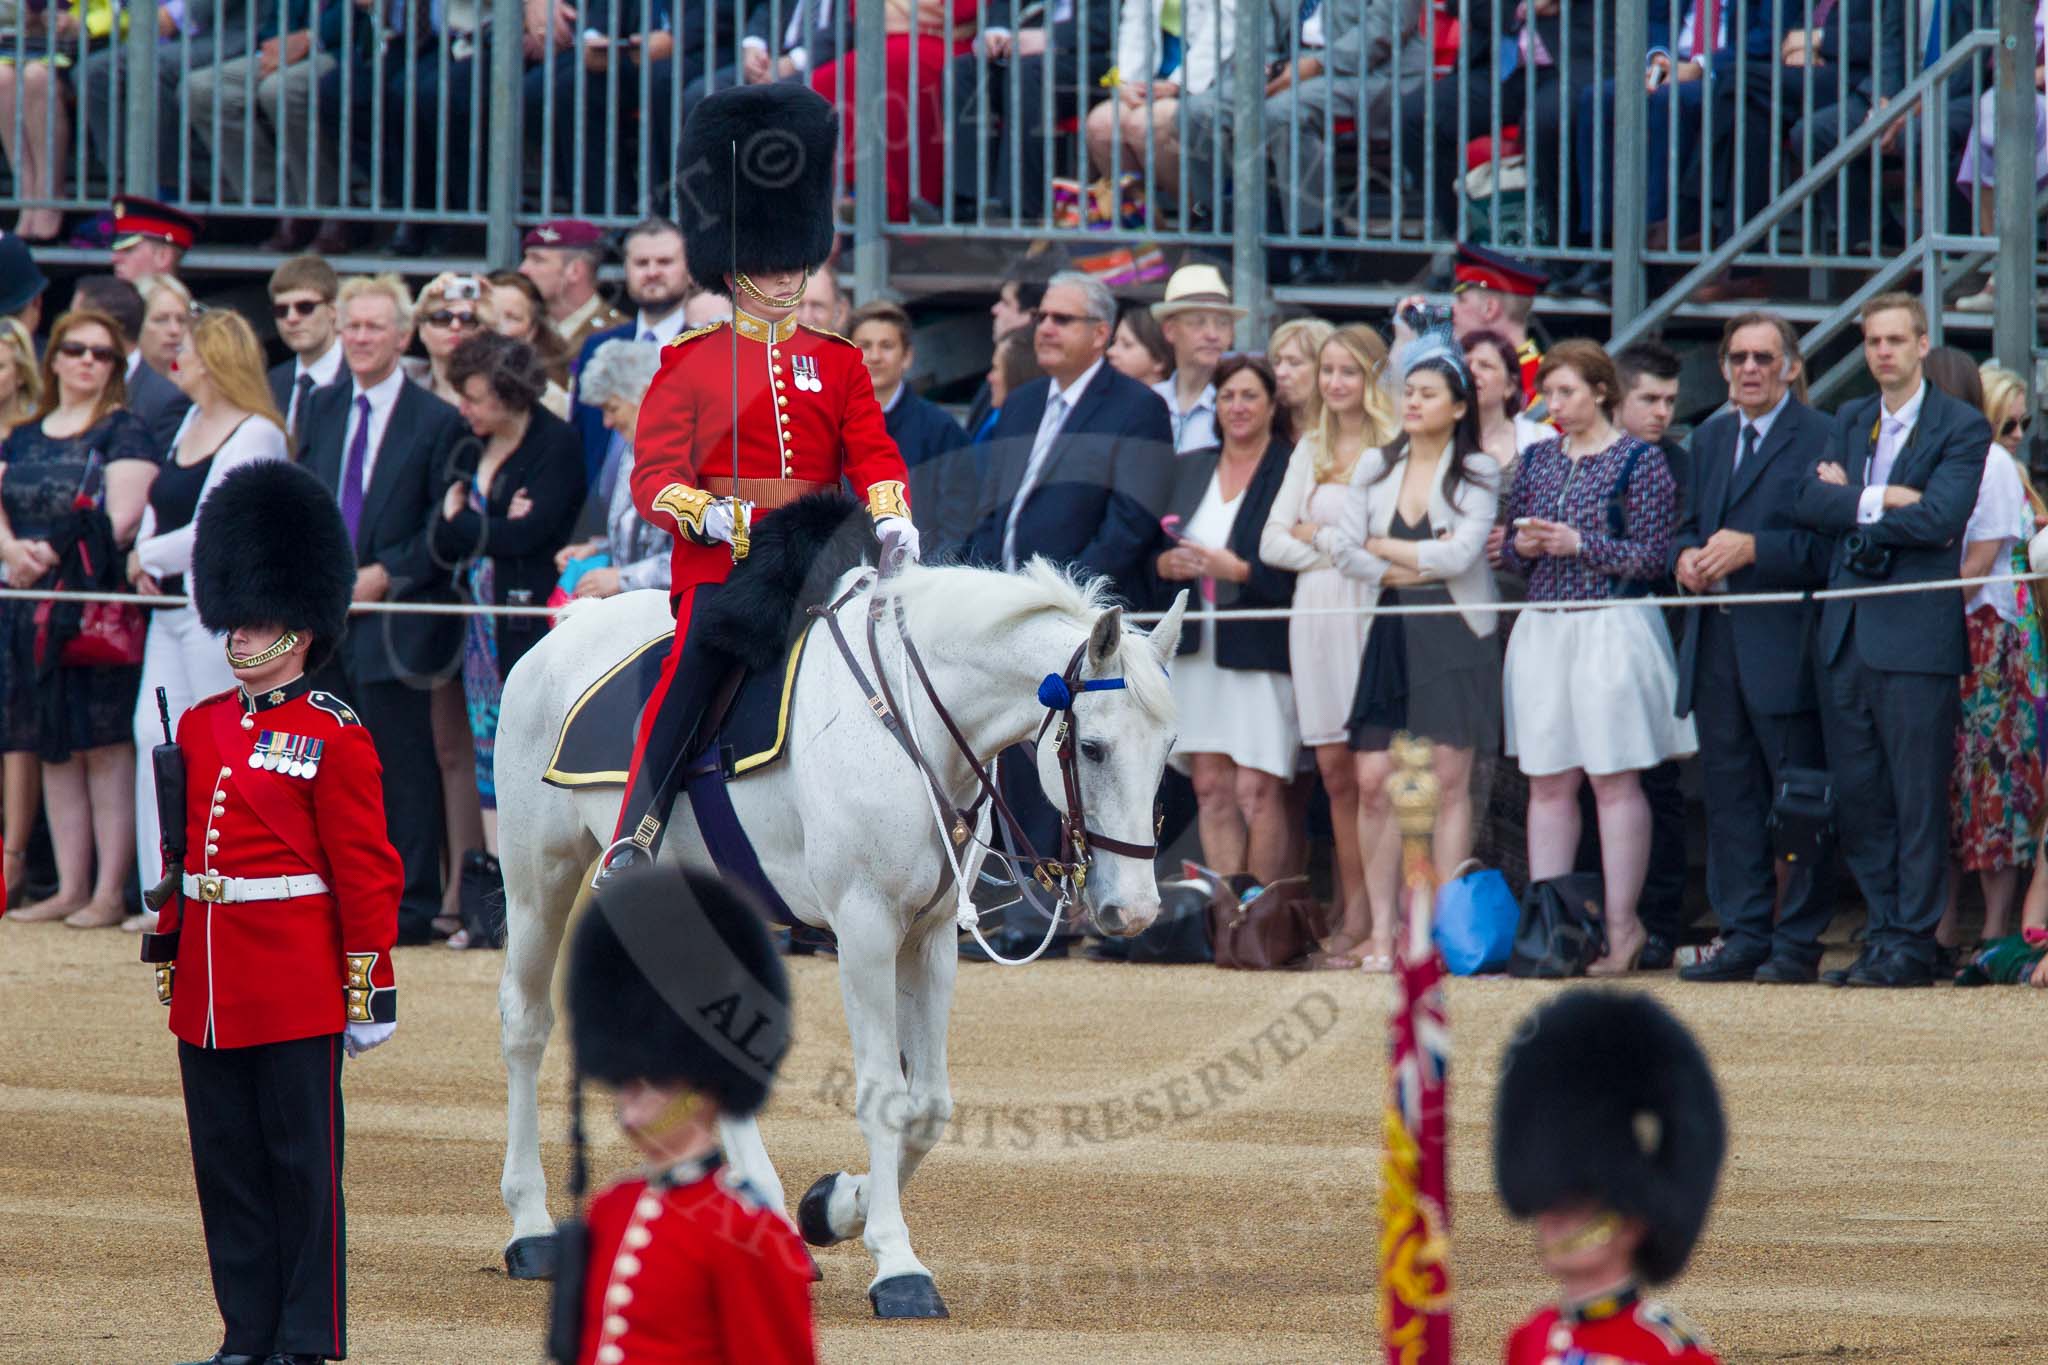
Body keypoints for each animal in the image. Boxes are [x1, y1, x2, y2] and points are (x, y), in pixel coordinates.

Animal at [491, 560, 1187, 1317]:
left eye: (1169, 748)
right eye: (1091, 747)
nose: (1134, 909)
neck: (910, 728)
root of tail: (563, 634)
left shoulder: (930, 938)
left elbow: (929, 1104)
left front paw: (832, 1206)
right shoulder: (865, 927)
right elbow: (883, 1093)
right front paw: (897, 1264)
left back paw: (764, 1215)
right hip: (541, 878)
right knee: (526, 1023)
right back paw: (530, 1226)